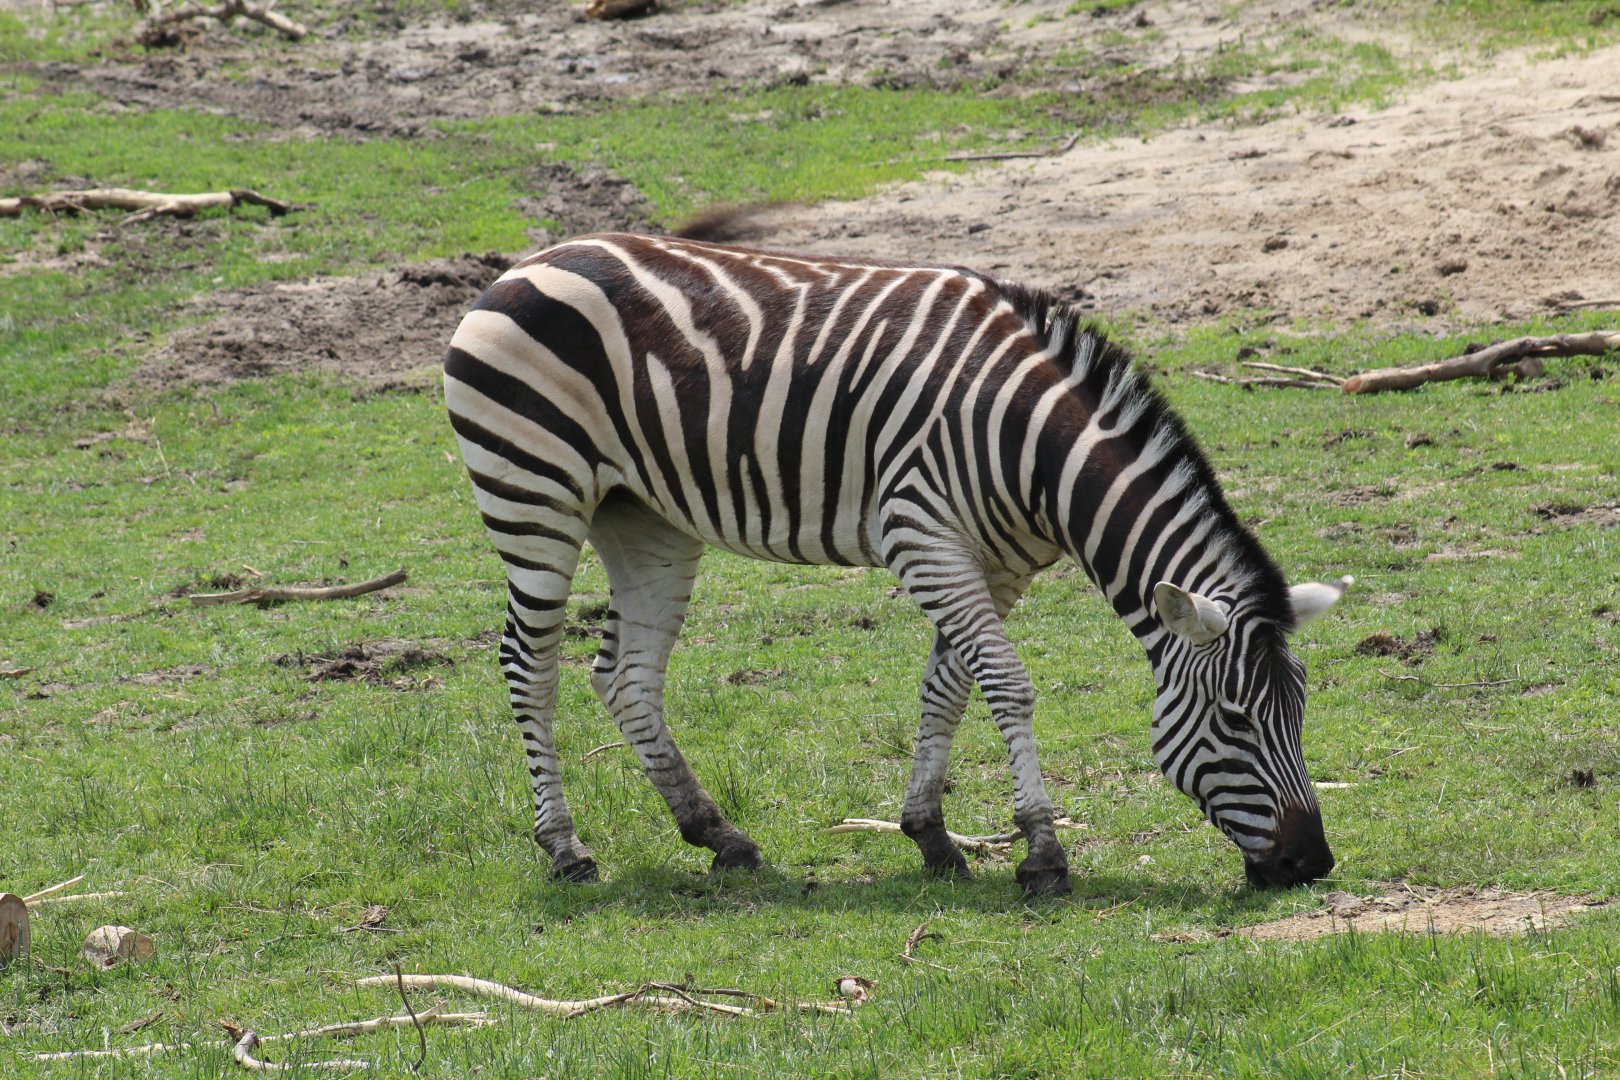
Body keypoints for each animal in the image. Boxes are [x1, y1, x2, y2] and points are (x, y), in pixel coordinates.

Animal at [444, 232, 1350, 896]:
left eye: (1299, 714)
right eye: (1234, 720)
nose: (1311, 864)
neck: (1034, 449)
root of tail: (523, 263)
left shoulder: (992, 562)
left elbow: (949, 685)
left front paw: (931, 836)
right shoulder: (922, 533)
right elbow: (1008, 684)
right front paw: (1043, 852)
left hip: (644, 516)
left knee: (626, 674)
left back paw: (719, 836)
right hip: (534, 487)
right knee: (530, 664)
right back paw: (566, 849)